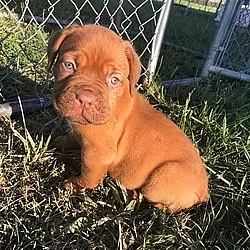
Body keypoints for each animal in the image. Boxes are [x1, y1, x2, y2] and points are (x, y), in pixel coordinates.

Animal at [47, 24, 209, 212]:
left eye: (114, 80)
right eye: (69, 65)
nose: (85, 99)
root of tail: (204, 192)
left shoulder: (97, 154)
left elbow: (89, 176)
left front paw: (75, 186)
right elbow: (72, 136)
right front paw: (62, 141)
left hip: (160, 180)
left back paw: (133, 194)